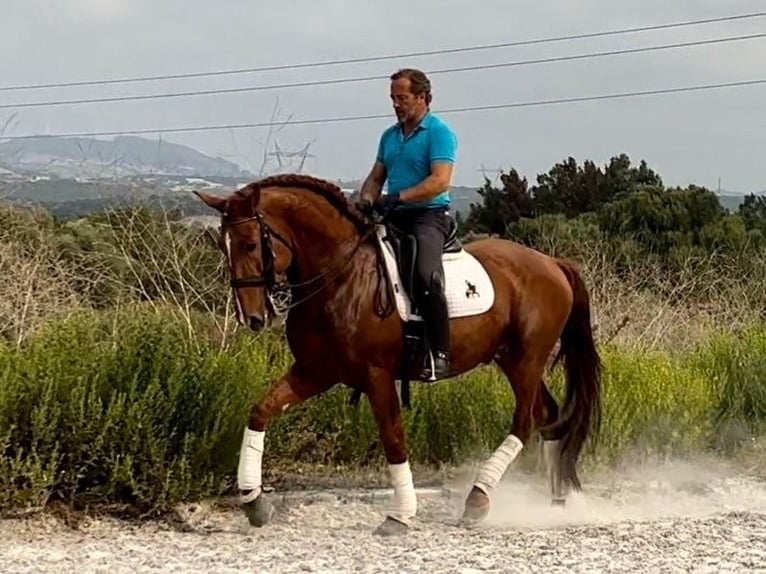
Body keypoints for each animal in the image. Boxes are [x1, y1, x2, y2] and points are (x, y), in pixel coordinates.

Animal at [195, 173, 604, 536]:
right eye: (223, 246)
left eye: (250, 244)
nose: (251, 317)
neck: (341, 278)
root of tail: (553, 264)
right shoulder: (314, 371)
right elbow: (260, 411)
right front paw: (254, 502)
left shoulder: (377, 376)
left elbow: (393, 439)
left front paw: (400, 516)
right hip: (512, 359)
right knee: (548, 415)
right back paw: (557, 500)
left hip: (526, 360)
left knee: (525, 421)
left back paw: (478, 499)